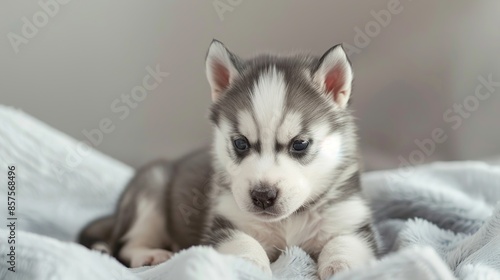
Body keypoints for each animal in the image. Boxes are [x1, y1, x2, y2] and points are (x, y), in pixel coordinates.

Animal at [79, 40, 376, 278]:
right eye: (240, 143)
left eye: (300, 144)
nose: (263, 196)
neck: (287, 222)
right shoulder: (223, 222)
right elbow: (243, 242)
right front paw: (248, 264)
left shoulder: (351, 221)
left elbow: (345, 242)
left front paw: (343, 266)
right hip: (151, 188)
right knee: (127, 243)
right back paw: (149, 254)